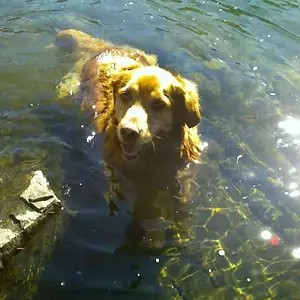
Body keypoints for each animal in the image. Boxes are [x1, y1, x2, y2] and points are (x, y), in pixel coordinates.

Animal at [55, 30, 203, 221]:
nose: (128, 132)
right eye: (125, 95)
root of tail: (109, 48)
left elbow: (181, 198)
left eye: (159, 104)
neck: (152, 156)